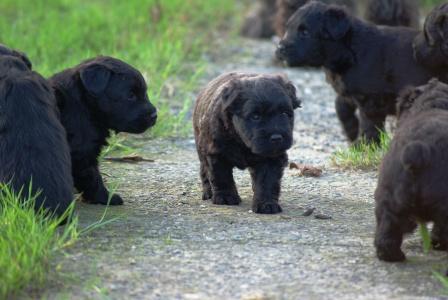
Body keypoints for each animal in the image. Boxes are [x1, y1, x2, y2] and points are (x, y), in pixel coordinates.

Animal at [48, 55, 158, 206]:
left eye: (145, 93)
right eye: (130, 95)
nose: (154, 115)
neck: (84, 105)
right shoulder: (81, 152)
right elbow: (92, 177)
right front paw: (106, 197)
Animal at [193, 72, 300, 214]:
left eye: (284, 113)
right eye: (255, 116)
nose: (277, 138)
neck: (242, 142)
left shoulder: (271, 157)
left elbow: (267, 181)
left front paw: (266, 204)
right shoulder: (215, 153)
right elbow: (221, 176)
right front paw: (226, 197)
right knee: (204, 171)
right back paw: (208, 193)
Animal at [274, 1, 432, 143]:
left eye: (305, 32)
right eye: (288, 28)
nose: (280, 49)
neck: (350, 50)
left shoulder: (371, 100)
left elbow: (369, 124)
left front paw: (366, 145)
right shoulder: (348, 91)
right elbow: (341, 107)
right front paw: (352, 132)